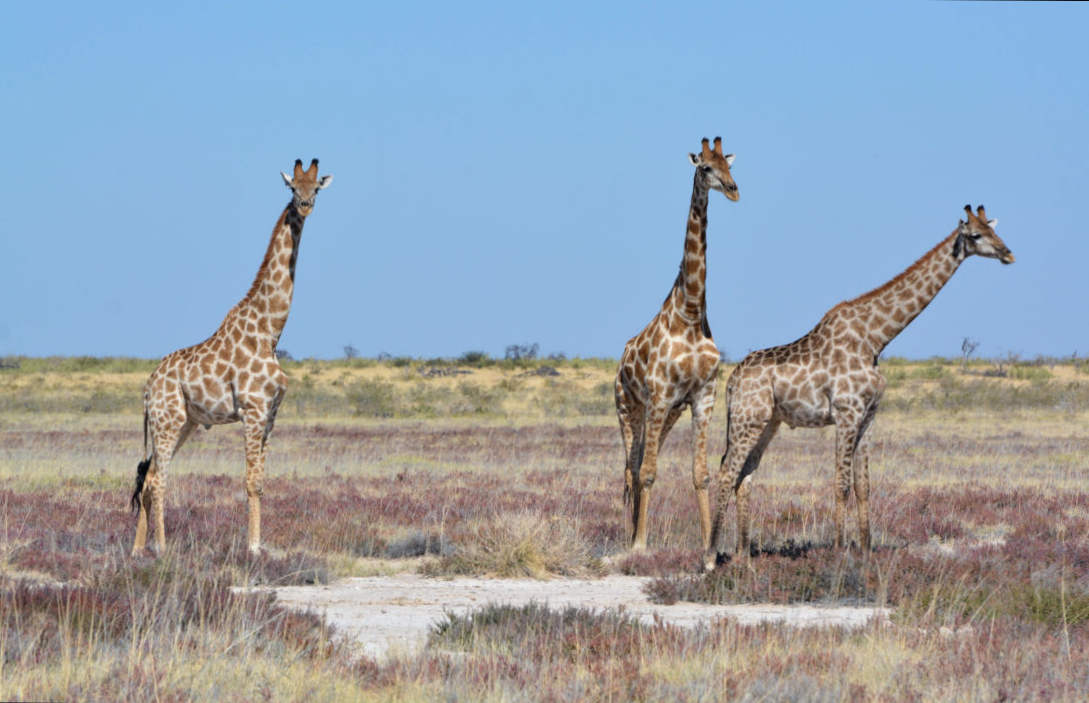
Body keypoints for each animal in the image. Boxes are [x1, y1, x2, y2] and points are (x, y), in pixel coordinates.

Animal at [128, 158, 331, 557]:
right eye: (292, 188)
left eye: (316, 188)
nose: (304, 207)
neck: (270, 331)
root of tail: (147, 388)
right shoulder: (252, 410)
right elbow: (250, 481)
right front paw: (252, 549)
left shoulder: (271, 414)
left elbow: (261, 481)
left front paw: (260, 545)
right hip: (168, 420)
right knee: (158, 480)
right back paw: (162, 548)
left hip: (185, 422)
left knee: (150, 476)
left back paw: (137, 551)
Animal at [614, 137, 740, 552]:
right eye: (705, 167)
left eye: (729, 164)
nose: (733, 189)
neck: (690, 311)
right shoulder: (659, 395)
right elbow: (648, 472)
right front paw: (640, 544)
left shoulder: (702, 397)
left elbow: (701, 474)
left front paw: (707, 543)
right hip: (629, 408)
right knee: (630, 469)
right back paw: (627, 537)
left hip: (666, 413)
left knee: (635, 465)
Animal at [705, 205, 1010, 574]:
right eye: (976, 235)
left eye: (994, 230)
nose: (1008, 253)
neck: (875, 338)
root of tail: (731, 381)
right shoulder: (846, 413)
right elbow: (842, 484)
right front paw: (838, 552)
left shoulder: (869, 416)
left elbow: (864, 486)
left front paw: (864, 552)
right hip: (747, 419)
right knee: (726, 473)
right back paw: (710, 558)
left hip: (767, 422)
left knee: (745, 475)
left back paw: (743, 557)